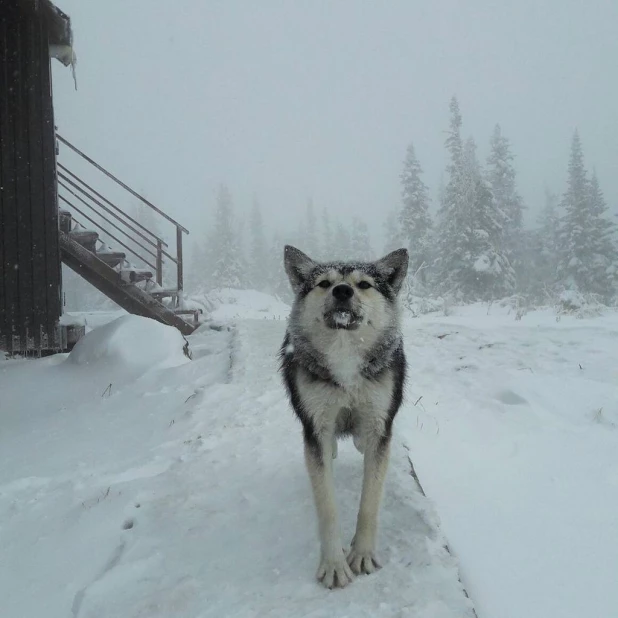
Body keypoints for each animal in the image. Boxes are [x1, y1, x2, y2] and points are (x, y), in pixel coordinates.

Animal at [278, 244, 404, 588]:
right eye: (324, 283)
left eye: (364, 285)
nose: (343, 290)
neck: (345, 350)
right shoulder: (316, 427)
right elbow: (327, 507)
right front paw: (334, 564)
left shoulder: (377, 426)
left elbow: (369, 503)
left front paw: (362, 554)